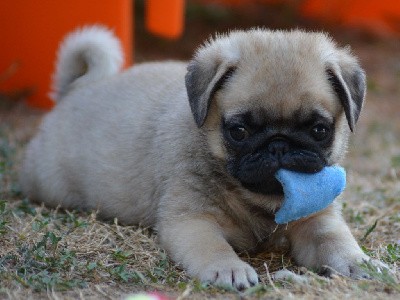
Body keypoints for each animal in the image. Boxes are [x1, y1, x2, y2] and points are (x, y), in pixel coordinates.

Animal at [20, 26, 374, 288]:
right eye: (239, 131)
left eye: (319, 130)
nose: (278, 146)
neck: (256, 200)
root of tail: (73, 92)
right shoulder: (191, 221)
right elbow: (213, 247)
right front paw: (229, 269)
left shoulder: (318, 220)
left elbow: (336, 241)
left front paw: (358, 263)